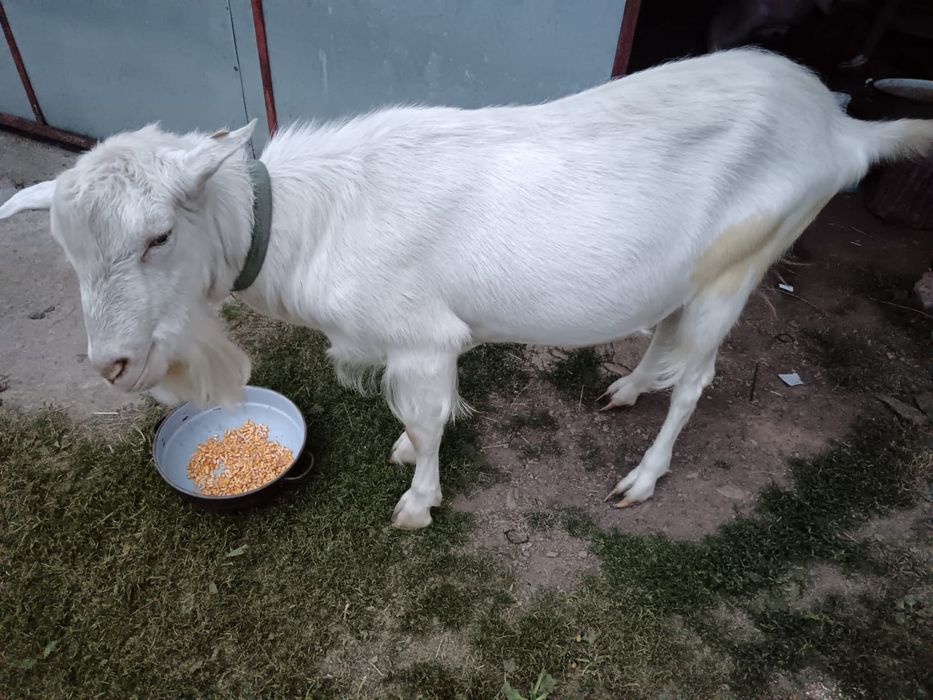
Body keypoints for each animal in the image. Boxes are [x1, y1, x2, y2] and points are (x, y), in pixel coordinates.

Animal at [2, 49, 931, 529]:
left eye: (159, 236)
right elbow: (417, 417)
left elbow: (423, 417)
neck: (317, 219)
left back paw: (642, 475)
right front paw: (407, 458)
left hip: (740, 264)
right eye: (68, 253)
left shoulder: (421, 340)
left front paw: (416, 501)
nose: (111, 365)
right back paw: (627, 387)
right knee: (665, 341)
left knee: (698, 377)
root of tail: (841, 127)